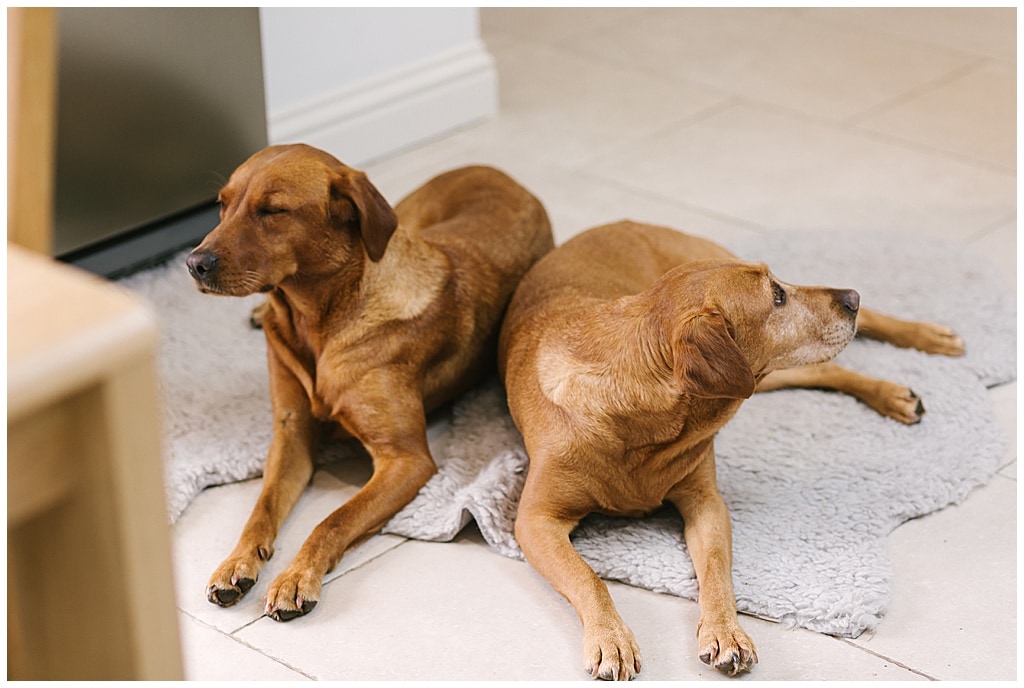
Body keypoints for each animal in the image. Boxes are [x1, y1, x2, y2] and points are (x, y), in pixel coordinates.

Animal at [499, 220, 962, 675]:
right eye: (776, 295)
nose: (851, 297)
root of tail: (627, 221)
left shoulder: (706, 502)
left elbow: (718, 572)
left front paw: (725, 631)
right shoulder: (535, 521)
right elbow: (588, 577)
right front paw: (611, 638)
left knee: (849, 347)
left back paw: (921, 341)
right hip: (758, 376)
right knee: (824, 371)